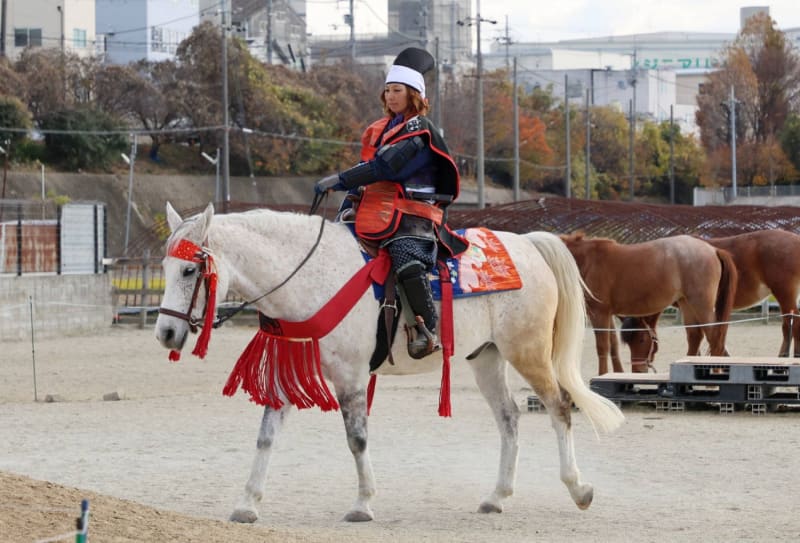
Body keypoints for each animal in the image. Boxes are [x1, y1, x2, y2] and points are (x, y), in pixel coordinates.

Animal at [154, 203, 624, 523]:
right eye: (165, 267)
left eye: (189, 272)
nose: (165, 333)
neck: (309, 279)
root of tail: (525, 243)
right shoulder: (289, 375)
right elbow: (265, 439)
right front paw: (247, 503)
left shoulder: (350, 377)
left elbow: (357, 439)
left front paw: (363, 503)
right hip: (486, 357)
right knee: (509, 418)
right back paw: (497, 495)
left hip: (527, 352)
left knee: (559, 408)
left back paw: (578, 488)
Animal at [558, 232, 737, 375]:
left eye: (642, 341)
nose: (638, 371)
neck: (589, 261)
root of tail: (712, 250)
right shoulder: (607, 314)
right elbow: (613, 345)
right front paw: (617, 374)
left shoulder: (599, 313)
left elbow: (602, 346)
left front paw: (602, 375)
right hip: (687, 304)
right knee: (695, 336)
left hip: (701, 305)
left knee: (714, 338)